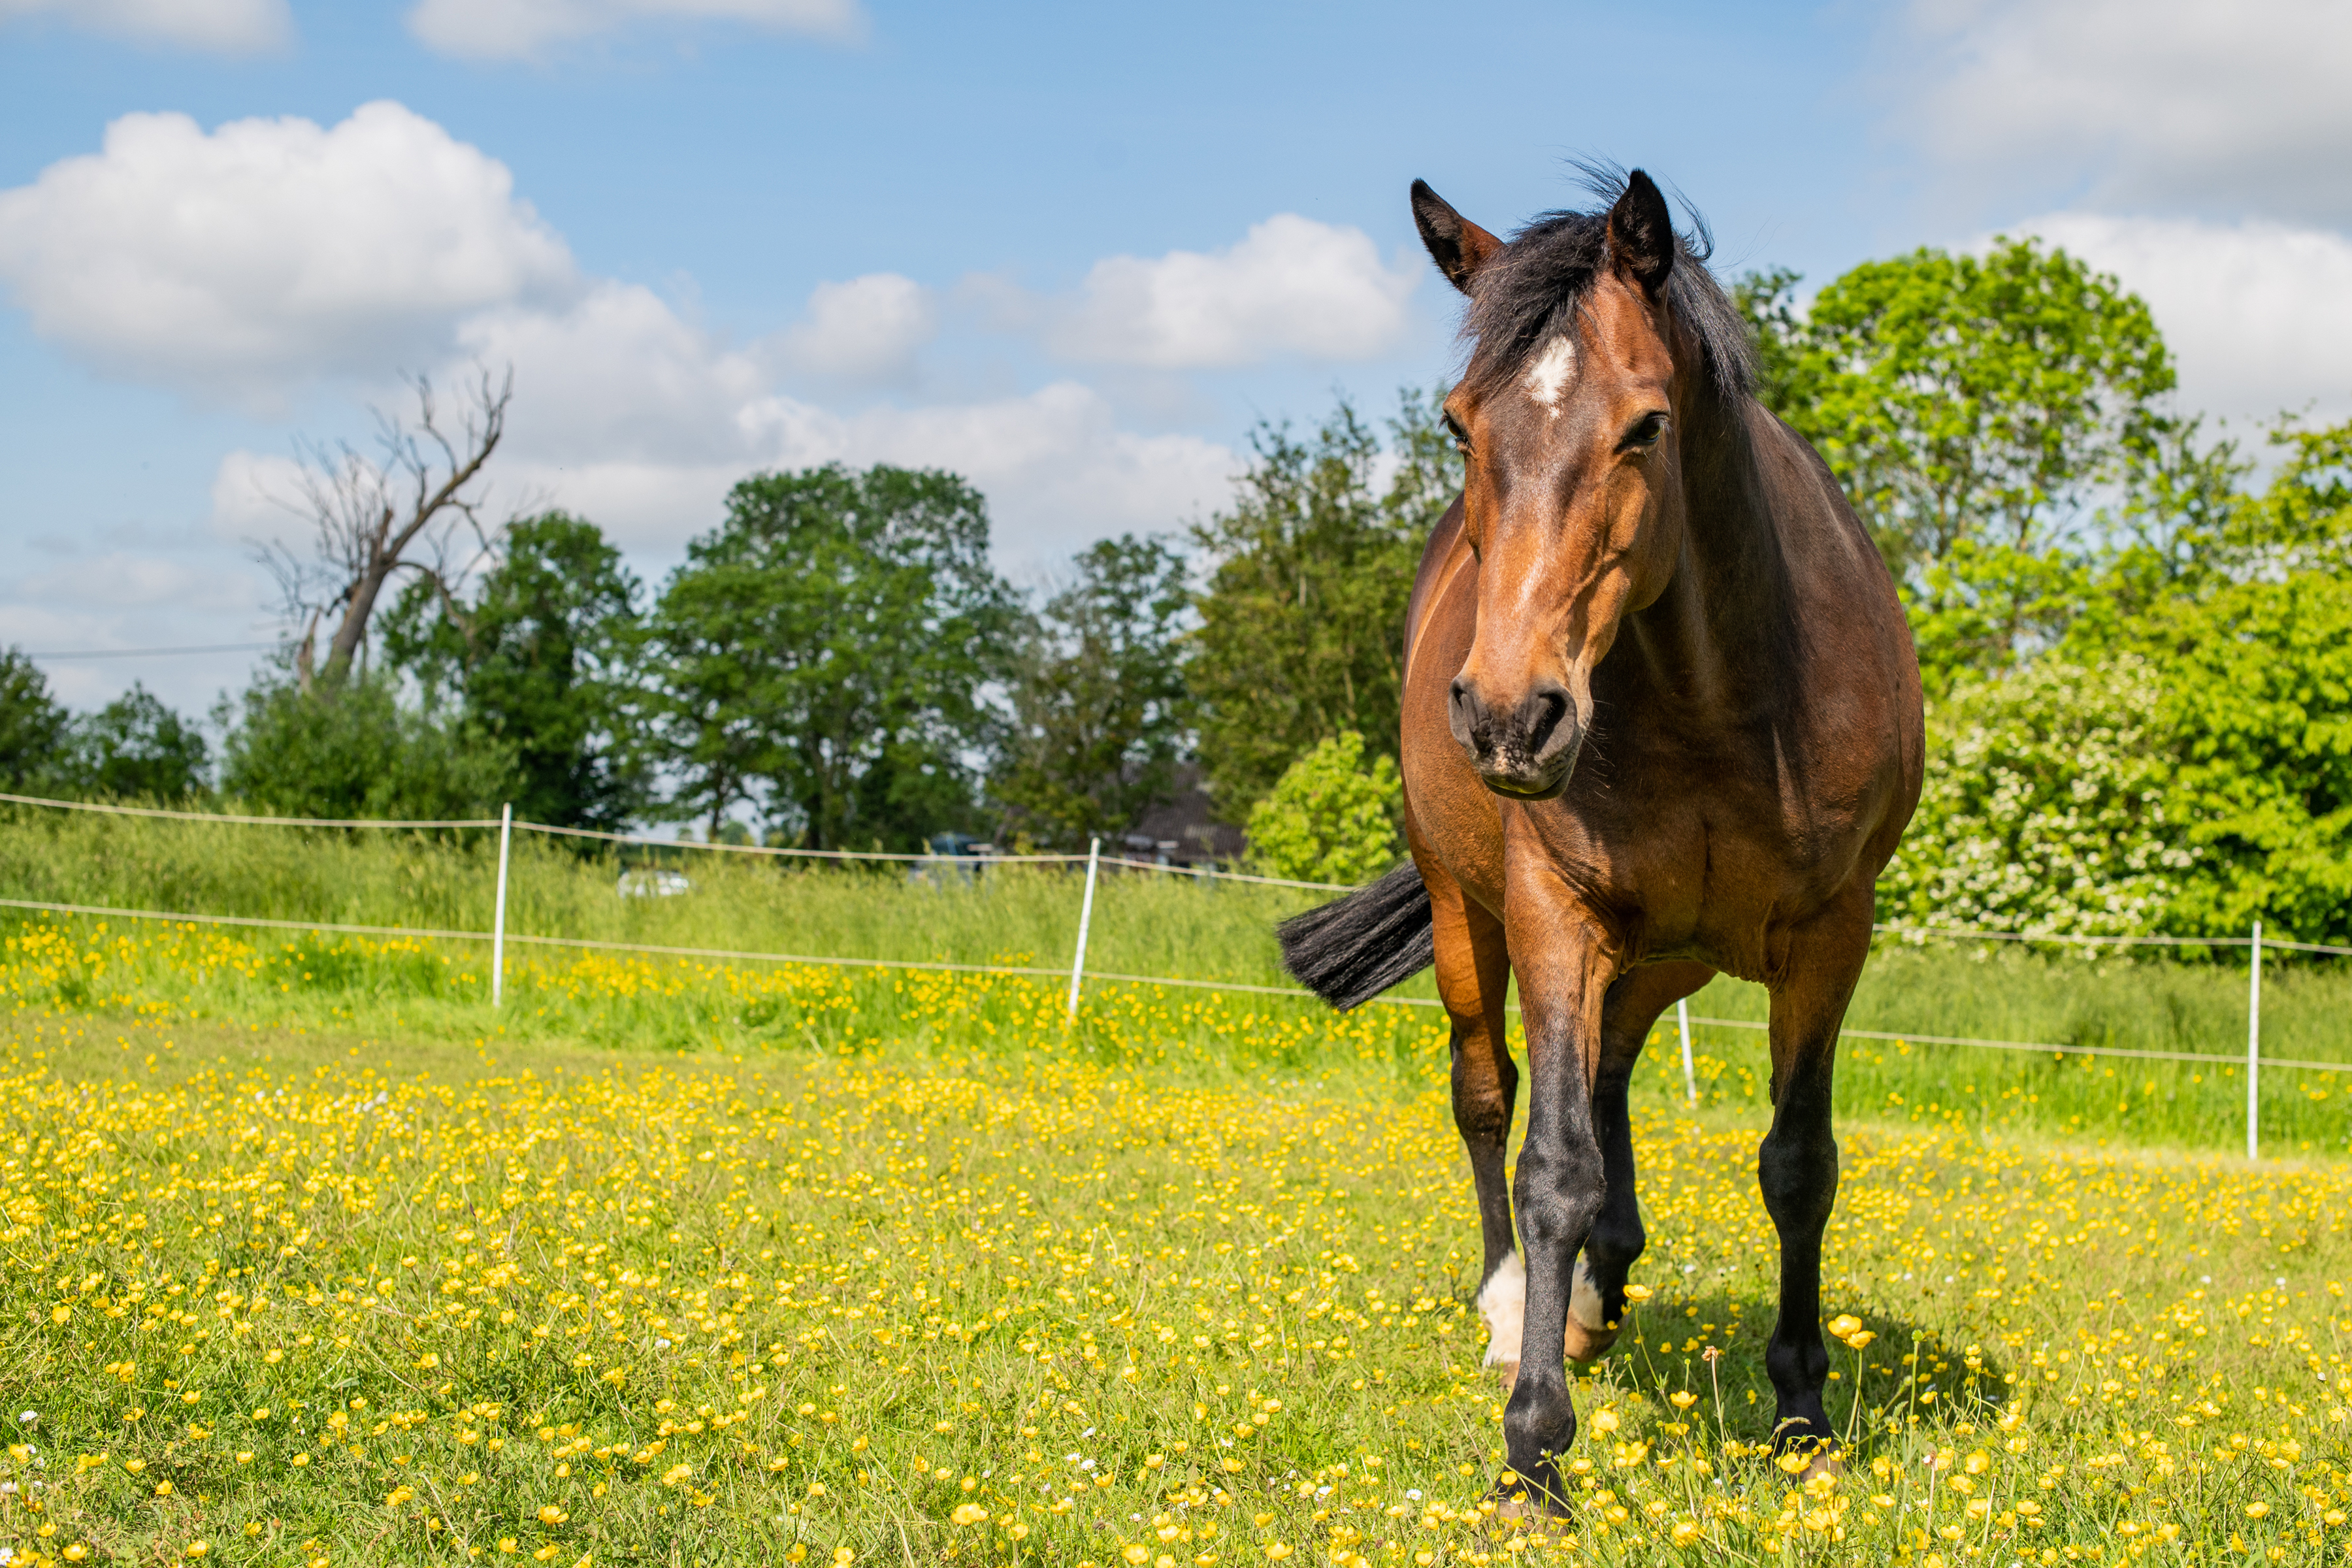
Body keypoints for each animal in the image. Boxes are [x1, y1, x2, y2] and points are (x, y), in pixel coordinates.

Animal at [1279, 169, 1919, 1504]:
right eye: (1460, 427)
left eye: (1647, 427)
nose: (1509, 715)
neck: (1721, 698)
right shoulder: (1553, 911)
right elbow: (1552, 1165)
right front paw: (1533, 1453)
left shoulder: (1831, 935)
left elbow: (1799, 1164)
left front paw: (1801, 1416)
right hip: (1470, 919)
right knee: (1488, 1096)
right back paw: (1516, 1300)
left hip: (1663, 959)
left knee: (1616, 1074)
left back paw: (1602, 1289)